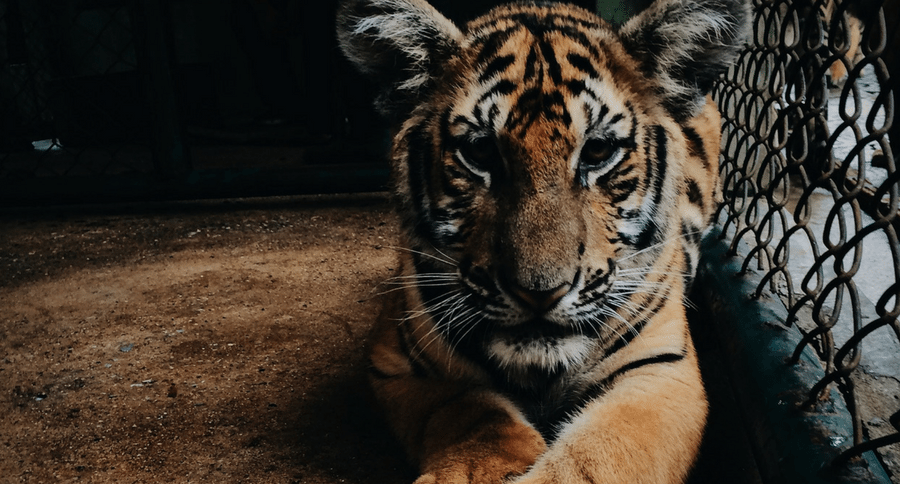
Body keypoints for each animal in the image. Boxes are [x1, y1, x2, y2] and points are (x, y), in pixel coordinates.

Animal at [337, 0, 748, 483]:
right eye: (480, 152)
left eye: (597, 151)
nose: (539, 293)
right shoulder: (397, 361)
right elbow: (470, 409)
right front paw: (473, 468)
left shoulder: (661, 370)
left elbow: (599, 458)